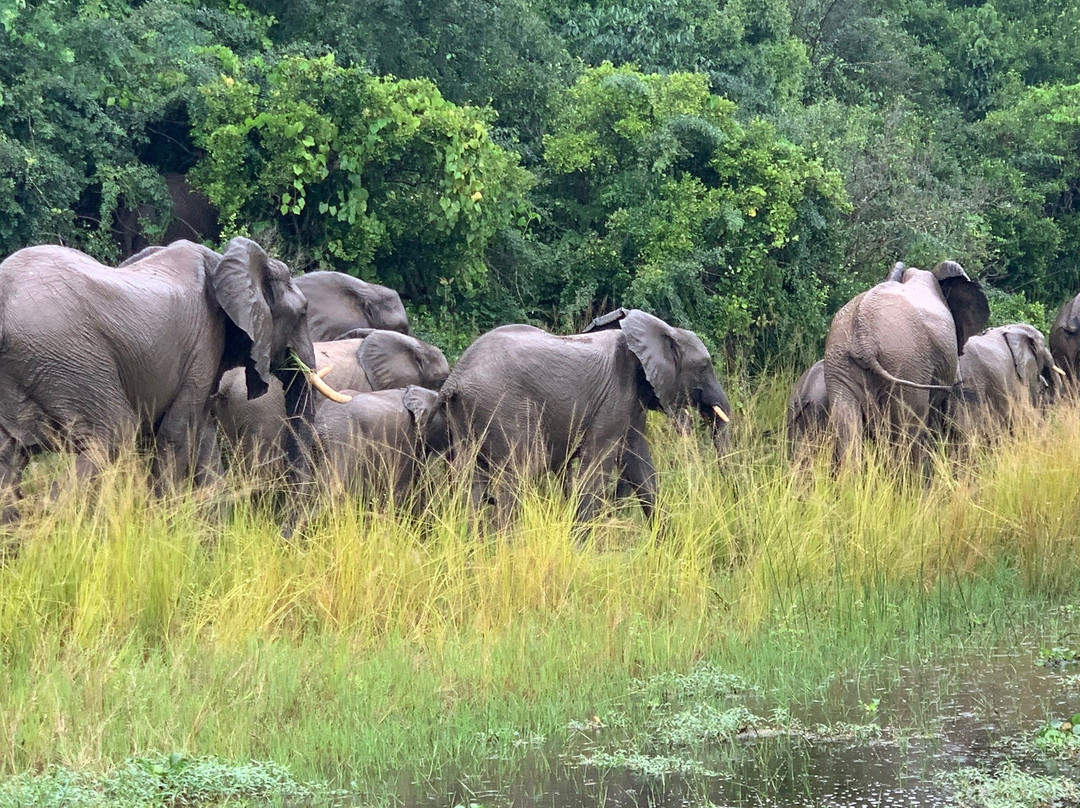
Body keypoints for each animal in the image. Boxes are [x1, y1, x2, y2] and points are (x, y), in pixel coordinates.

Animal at [0, 236, 341, 520]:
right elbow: (176, 434)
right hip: (68, 354)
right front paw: (165, 526)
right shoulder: (202, 344)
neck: (222, 262)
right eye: (303, 313)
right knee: (113, 433)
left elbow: (201, 434)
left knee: (9, 458)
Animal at [438, 306, 734, 524]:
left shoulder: (632, 400)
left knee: (469, 480)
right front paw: (580, 547)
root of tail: (455, 378)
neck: (662, 329)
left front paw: (663, 540)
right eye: (705, 367)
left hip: (467, 417)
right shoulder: (616, 393)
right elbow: (598, 464)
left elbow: (638, 463)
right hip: (502, 406)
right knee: (519, 471)